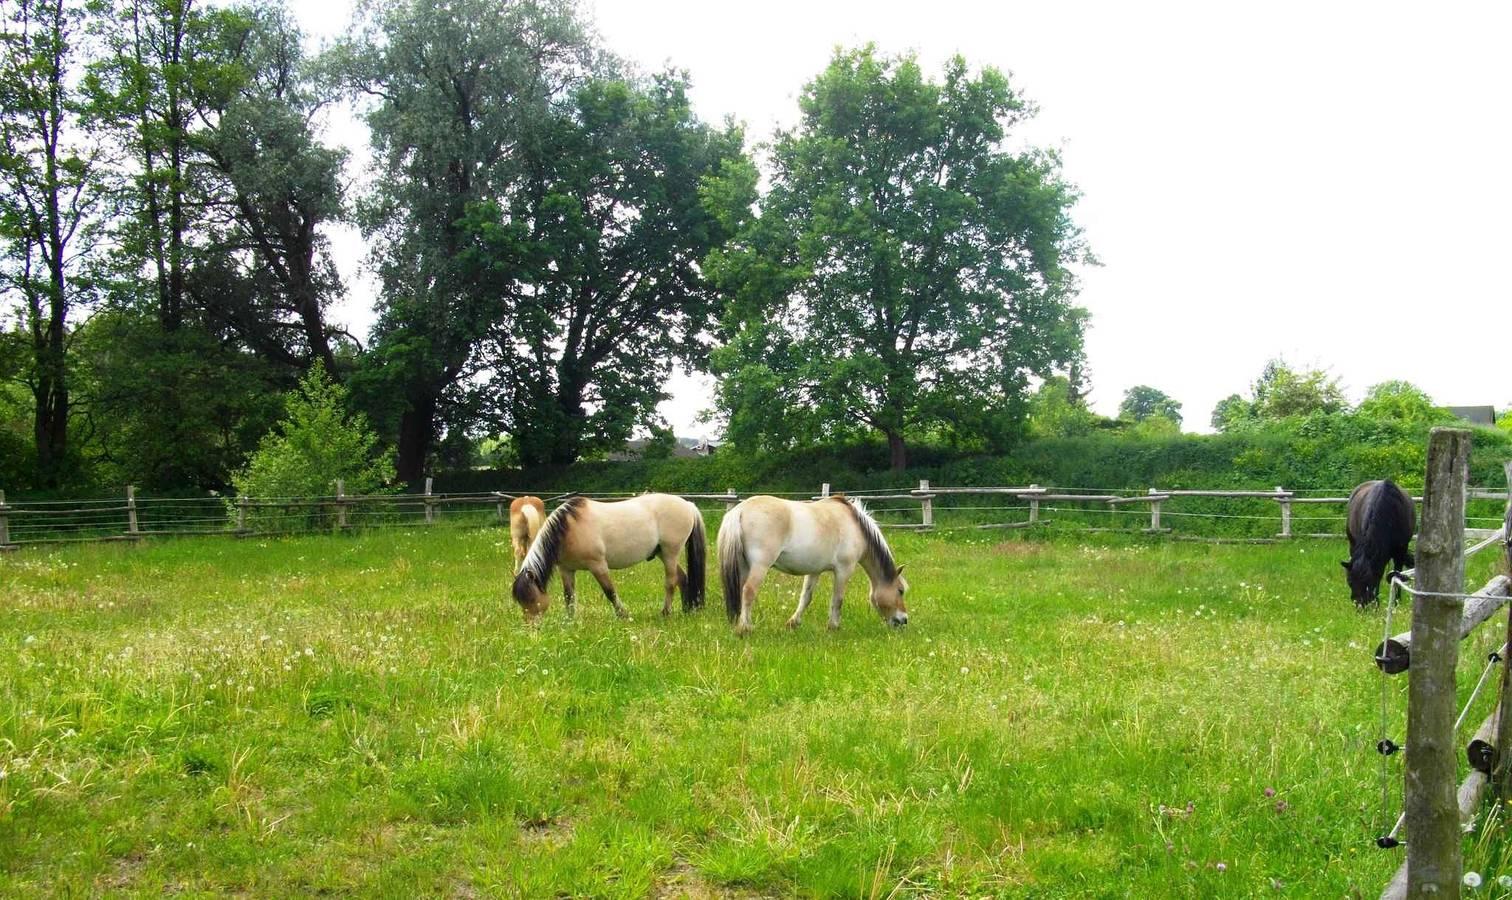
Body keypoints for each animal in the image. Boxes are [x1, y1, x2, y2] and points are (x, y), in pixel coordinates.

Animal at [511, 493, 706, 621]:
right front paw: (570, 620)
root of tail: (688, 504)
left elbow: (610, 591)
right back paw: (687, 609)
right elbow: (569, 596)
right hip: (662, 554)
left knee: (671, 582)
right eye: (520, 600)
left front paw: (623, 615)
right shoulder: (566, 569)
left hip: (670, 553)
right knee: (682, 578)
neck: (568, 529)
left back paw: (665, 613)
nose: (531, 627)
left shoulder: (598, 565)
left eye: (531, 598)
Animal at [717, 494, 909, 634]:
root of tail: (739, 511)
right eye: (900, 591)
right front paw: (833, 626)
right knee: (749, 591)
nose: (904, 620)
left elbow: (806, 597)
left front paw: (793, 623)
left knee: (740, 590)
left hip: (743, 566)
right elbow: (837, 599)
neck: (855, 526)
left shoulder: (814, 571)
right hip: (759, 566)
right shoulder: (844, 570)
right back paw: (745, 628)